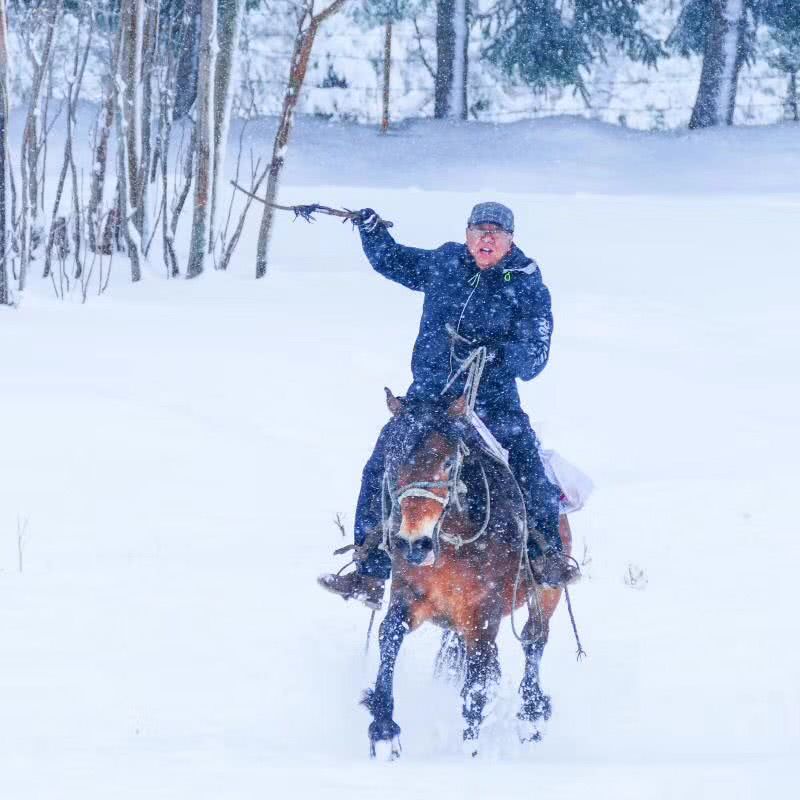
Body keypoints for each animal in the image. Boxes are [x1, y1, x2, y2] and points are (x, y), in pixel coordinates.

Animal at [362, 393, 572, 758]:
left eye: (448, 463)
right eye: (392, 459)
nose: (414, 543)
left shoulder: (482, 616)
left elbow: (475, 685)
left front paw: (470, 752)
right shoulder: (411, 597)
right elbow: (389, 634)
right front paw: (384, 729)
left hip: (546, 593)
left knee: (534, 640)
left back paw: (531, 715)